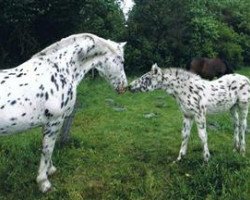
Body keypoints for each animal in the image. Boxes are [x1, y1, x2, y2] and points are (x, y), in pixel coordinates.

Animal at [0, 32, 127, 192]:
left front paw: (50, 170)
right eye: (121, 61)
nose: (124, 87)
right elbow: (48, 149)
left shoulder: (47, 123)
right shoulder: (55, 121)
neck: (60, 71)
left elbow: (46, 148)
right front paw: (44, 183)